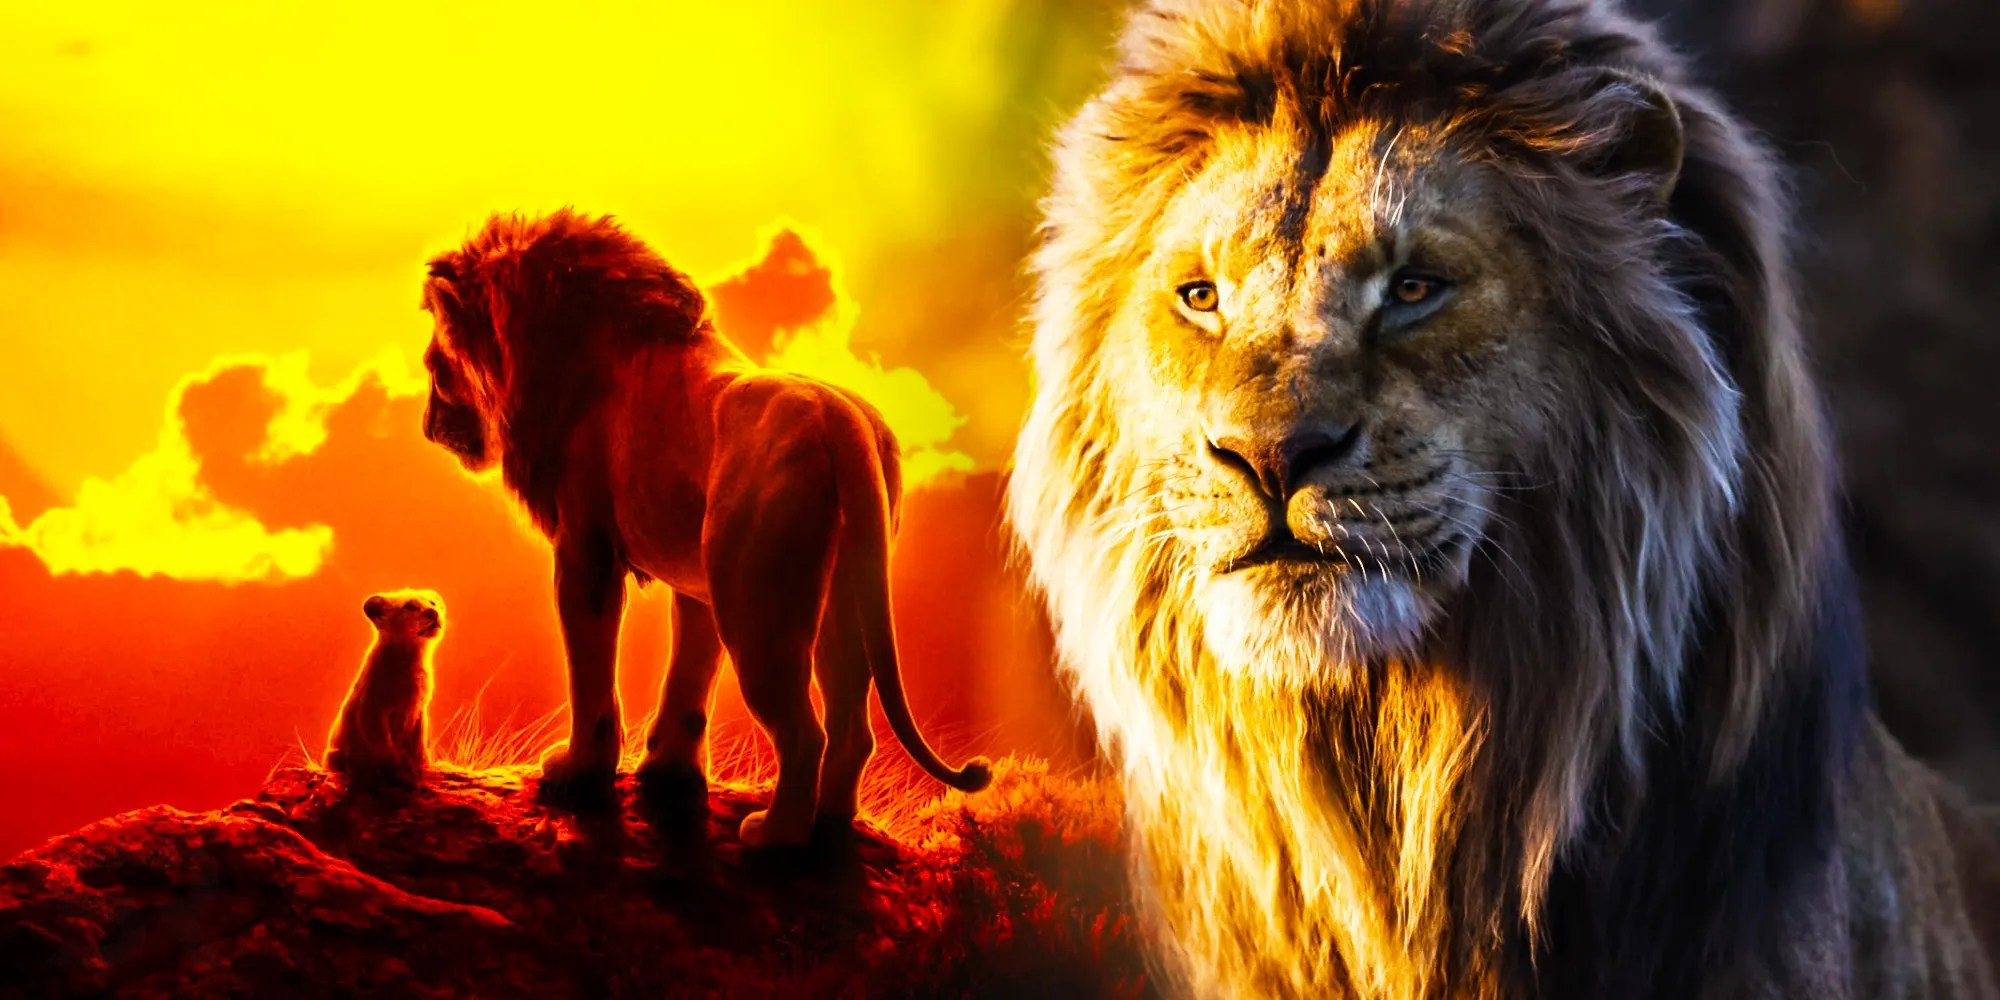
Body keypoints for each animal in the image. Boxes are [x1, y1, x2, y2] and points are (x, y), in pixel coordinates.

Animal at [326, 589, 443, 787]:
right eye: (410, 606)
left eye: (432, 603)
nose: (433, 613)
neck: (413, 655)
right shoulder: (372, 711)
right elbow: (386, 747)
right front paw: (400, 774)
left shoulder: (419, 710)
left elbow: (419, 744)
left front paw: (424, 765)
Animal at [418, 210, 990, 847]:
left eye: (435, 369)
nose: (427, 427)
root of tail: (842, 425)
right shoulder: (698, 581)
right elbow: (690, 676)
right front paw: (668, 772)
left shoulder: (585, 551)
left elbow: (591, 673)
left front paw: (578, 772)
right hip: (841, 592)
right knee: (851, 725)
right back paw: (832, 822)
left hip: (757, 606)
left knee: (804, 733)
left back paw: (773, 836)